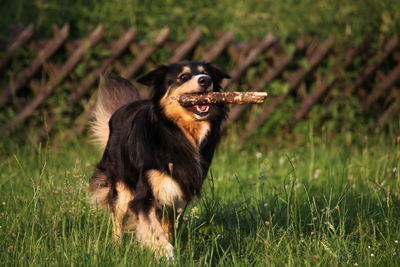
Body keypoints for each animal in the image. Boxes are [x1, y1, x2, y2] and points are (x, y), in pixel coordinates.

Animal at [89, 61, 230, 258]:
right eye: (183, 77)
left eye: (207, 74)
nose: (205, 80)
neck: (178, 132)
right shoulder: (144, 195)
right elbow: (153, 227)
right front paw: (166, 252)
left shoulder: (177, 194)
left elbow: (167, 227)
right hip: (121, 185)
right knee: (117, 219)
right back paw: (116, 249)